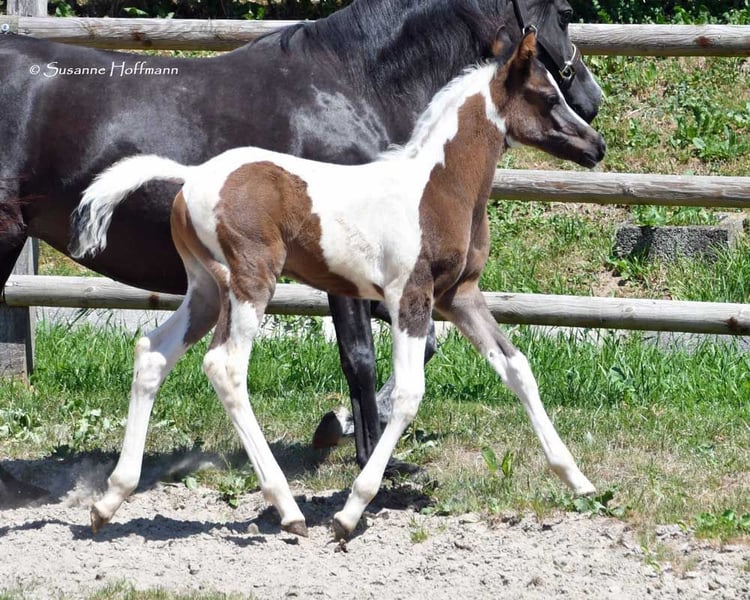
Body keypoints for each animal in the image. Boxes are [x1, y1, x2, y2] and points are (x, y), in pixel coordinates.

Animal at [0, 0, 603, 471]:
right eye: (565, 15)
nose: (593, 110)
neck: (354, 84)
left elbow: (423, 342)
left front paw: (340, 426)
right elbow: (360, 357)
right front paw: (365, 453)